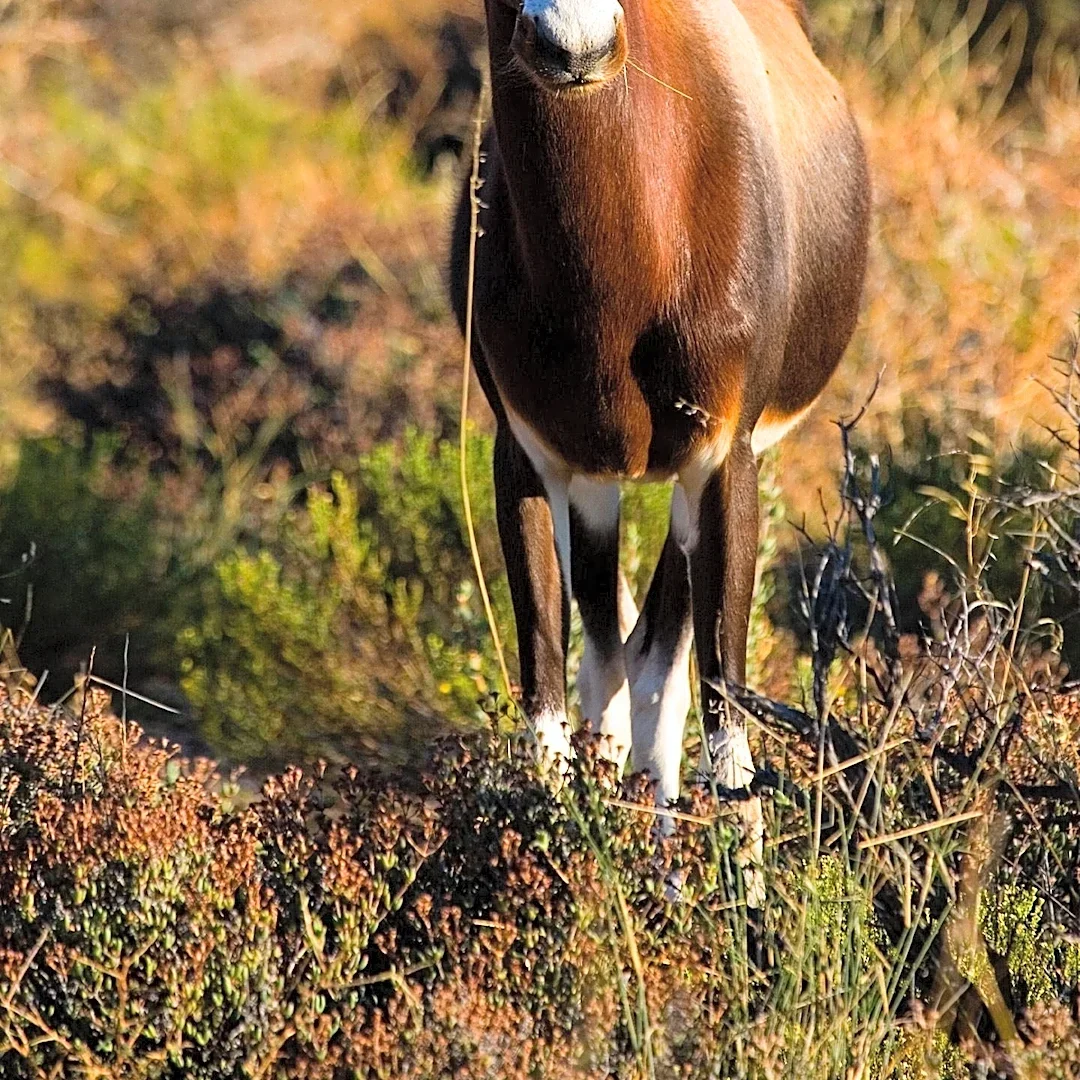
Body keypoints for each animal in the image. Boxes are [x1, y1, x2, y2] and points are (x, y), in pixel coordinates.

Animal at [450, 0, 870, 855]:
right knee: (616, 668)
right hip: (603, 487)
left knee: (658, 679)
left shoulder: (723, 464)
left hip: (687, 493)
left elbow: (727, 727)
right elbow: (547, 708)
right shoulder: (529, 462)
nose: (574, 49)